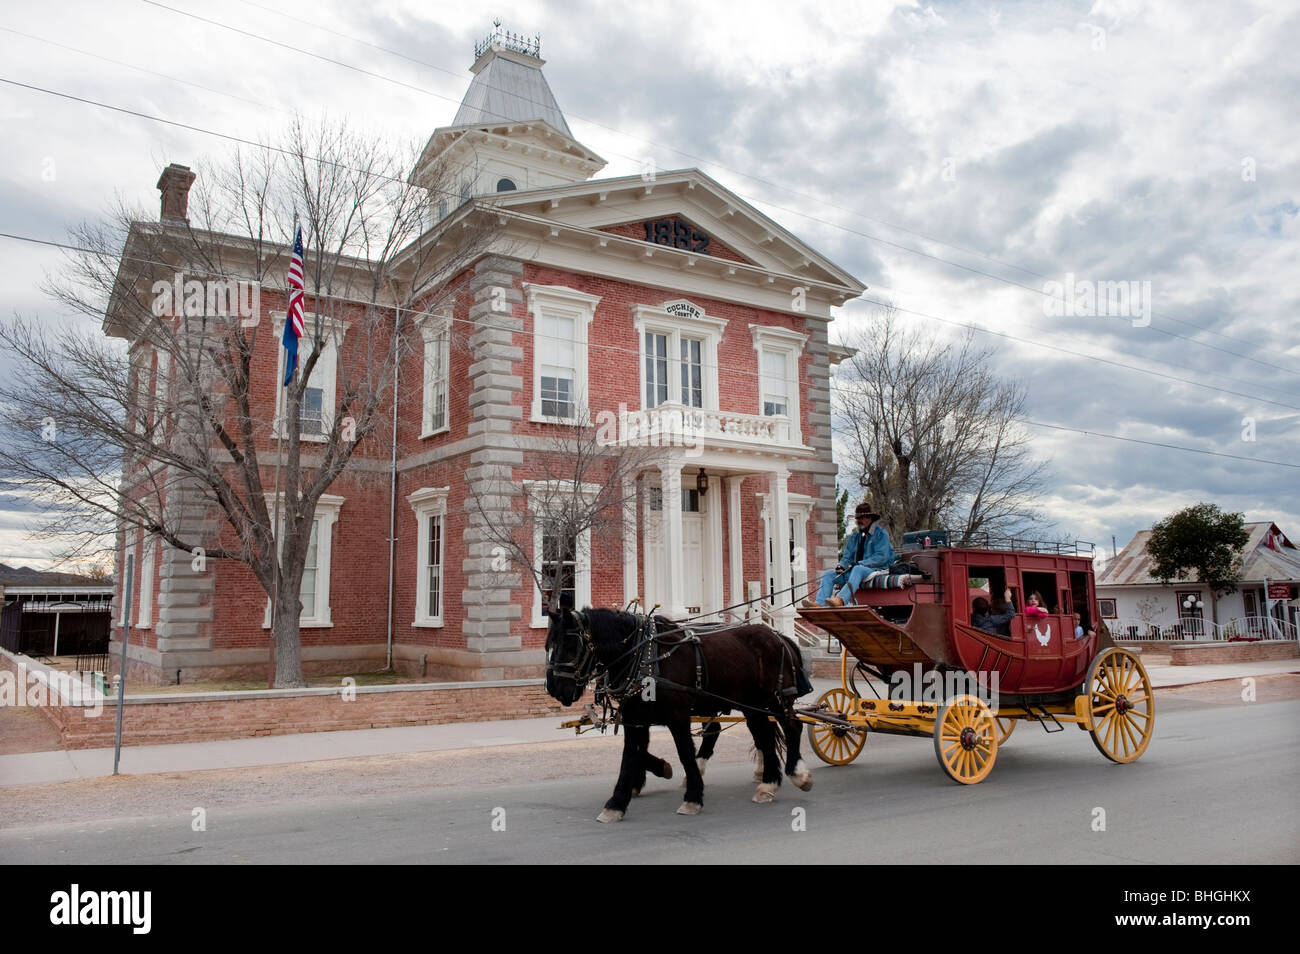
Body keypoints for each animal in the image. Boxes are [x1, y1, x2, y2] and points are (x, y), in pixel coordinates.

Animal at [540, 613, 806, 821]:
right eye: (549, 645)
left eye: (570, 646)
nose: (553, 687)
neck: (643, 656)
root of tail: (778, 636)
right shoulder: (636, 717)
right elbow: (631, 754)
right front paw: (618, 801)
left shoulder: (677, 716)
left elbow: (684, 752)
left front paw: (693, 797)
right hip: (753, 706)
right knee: (763, 737)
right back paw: (768, 783)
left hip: (776, 700)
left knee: (792, 727)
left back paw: (797, 773)